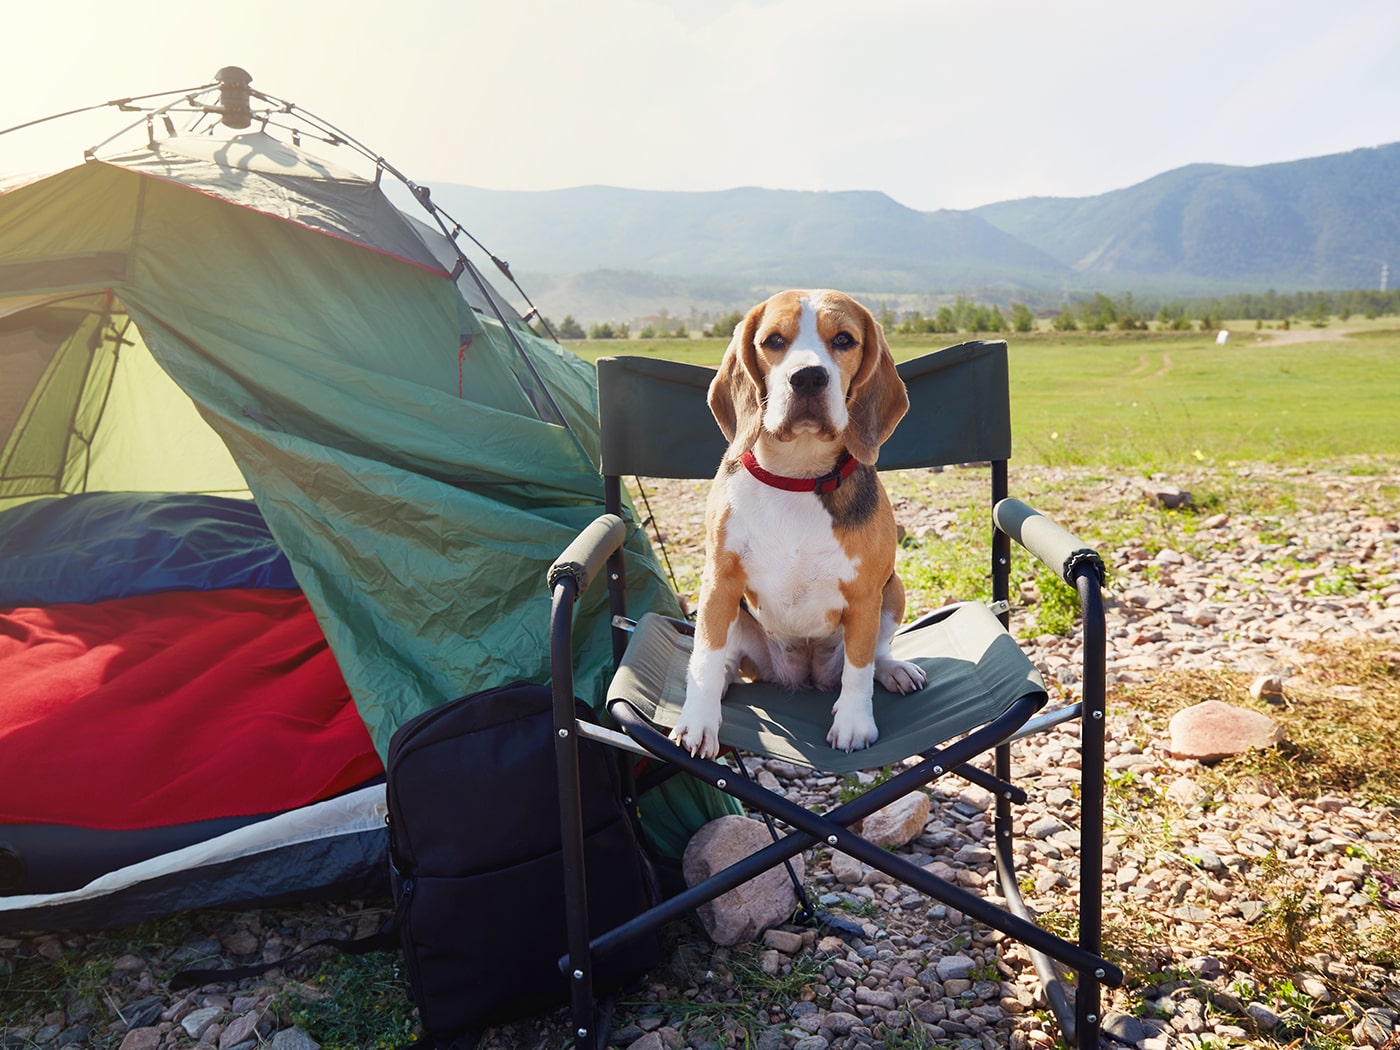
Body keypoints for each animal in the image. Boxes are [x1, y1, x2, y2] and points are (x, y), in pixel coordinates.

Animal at [669, 292, 924, 761]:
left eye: (844, 339)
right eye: (773, 340)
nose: (807, 377)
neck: (797, 476)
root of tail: (801, 674)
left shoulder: (865, 594)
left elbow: (859, 669)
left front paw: (854, 723)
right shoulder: (719, 580)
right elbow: (707, 655)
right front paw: (697, 721)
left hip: (892, 589)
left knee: (875, 655)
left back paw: (893, 669)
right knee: (724, 661)